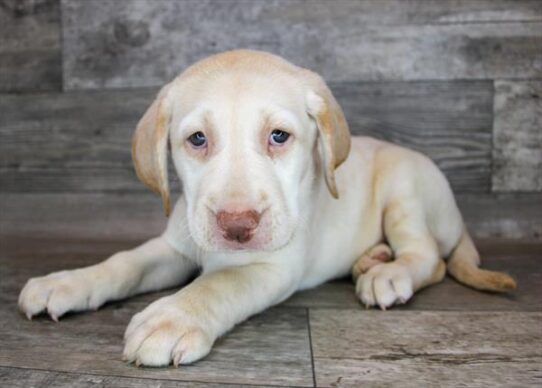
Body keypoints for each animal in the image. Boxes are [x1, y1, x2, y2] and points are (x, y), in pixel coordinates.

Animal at [18, 49, 520, 366]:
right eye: (197, 139)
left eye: (279, 136)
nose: (237, 226)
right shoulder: (176, 246)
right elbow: (125, 262)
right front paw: (67, 281)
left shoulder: (272, 267)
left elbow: (217, 285)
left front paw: (173, 318)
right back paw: (371, 258)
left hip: (406, 188)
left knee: (430, 256)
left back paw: (387, 273)